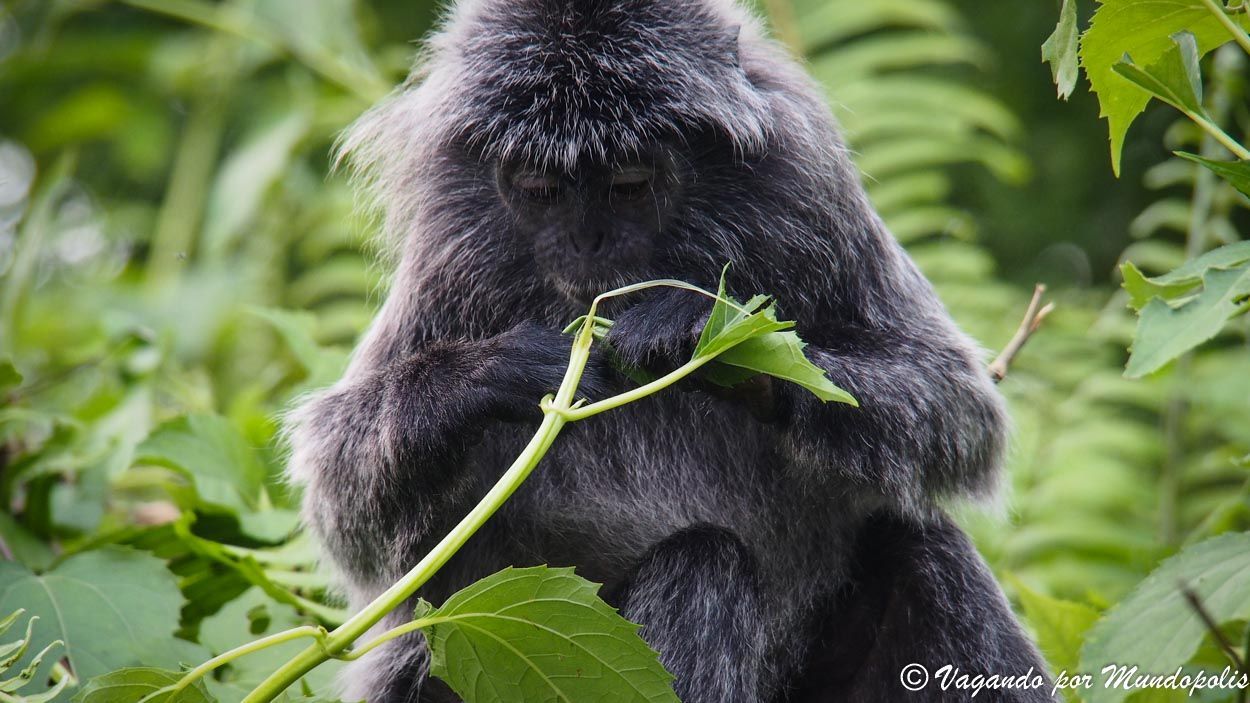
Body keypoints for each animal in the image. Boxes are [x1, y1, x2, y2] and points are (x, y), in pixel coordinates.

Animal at [285, 0, 1054, 701]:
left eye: (630, 185)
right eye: (540, 189)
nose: (588, 244)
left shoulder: (811, 200)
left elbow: (958, 405)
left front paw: (705, 338)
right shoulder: (447, 263)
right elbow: (346, 506)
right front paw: (496, 374)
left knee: (906, 541)